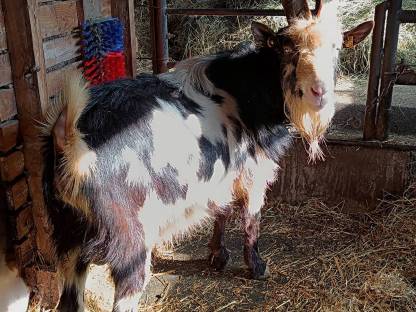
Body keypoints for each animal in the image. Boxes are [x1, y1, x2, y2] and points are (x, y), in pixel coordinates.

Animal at [43, 1, 374, 310]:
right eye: (287, 47)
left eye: (337, 47)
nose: (319, 92)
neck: (247, 90)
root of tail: (70, 139)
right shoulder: (254, 173)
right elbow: (251, 220)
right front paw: (256, 266)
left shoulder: (223, 173)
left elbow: (221, 209)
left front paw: (217, 255)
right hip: (130, 243)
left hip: (67, 237)